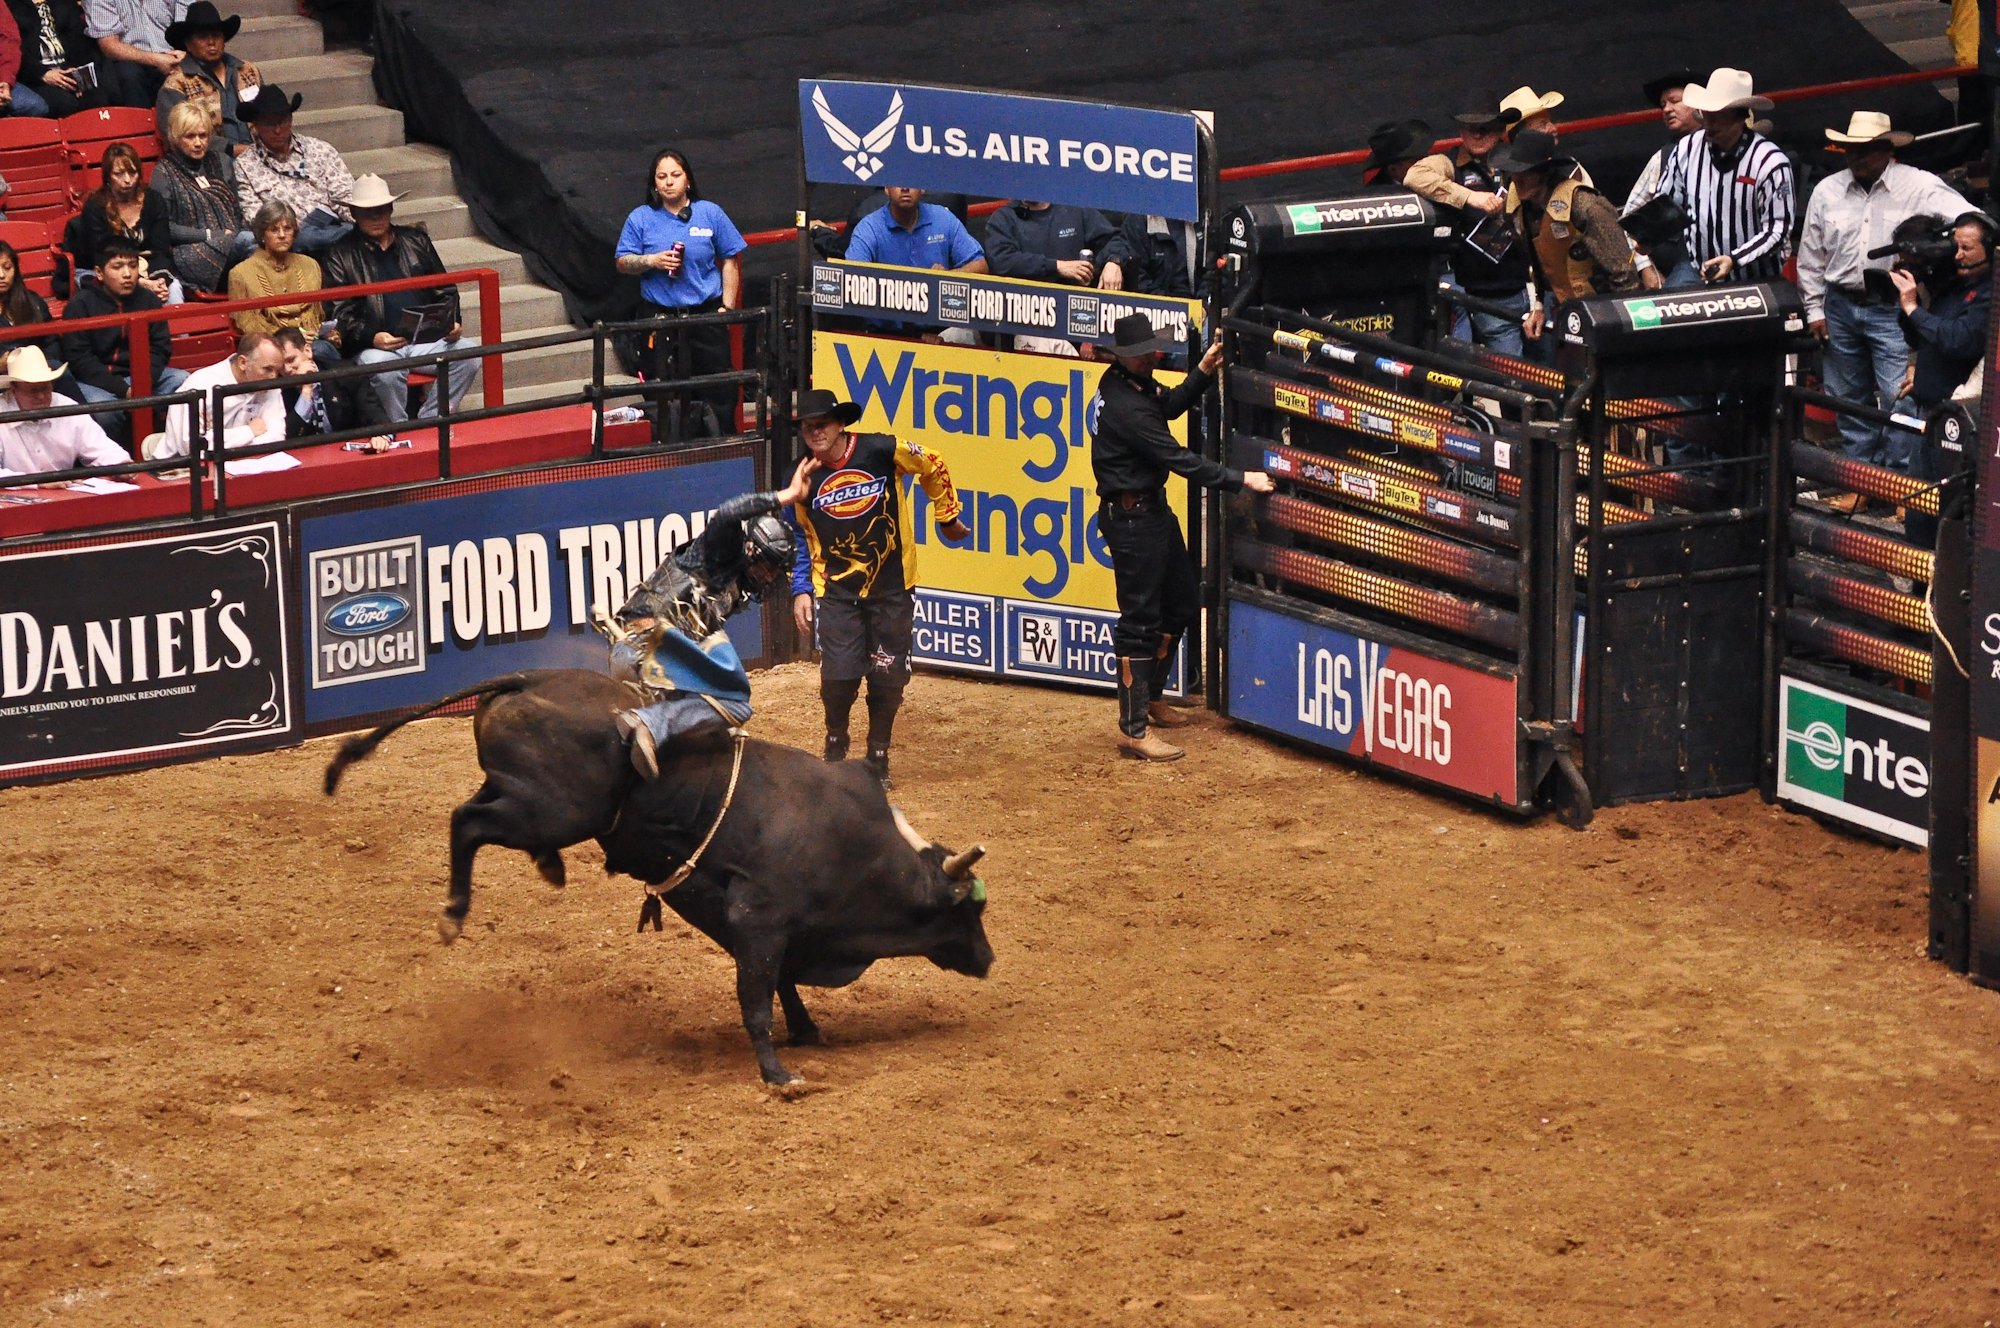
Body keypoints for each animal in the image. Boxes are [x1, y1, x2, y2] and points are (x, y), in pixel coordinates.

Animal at [322, 668, 1000, 1088]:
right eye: (970, 910)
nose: (989, 959)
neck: (853, 845)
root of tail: (531, 678)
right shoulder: (758, 918)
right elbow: (758, 997)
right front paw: (778, 1075)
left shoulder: (767, 928)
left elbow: (782, 983)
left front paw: (807, 1031)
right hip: (551, 808)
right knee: (465, 822)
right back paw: (454, 912)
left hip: (527, 797)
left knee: (477, 811)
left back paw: (547, 864)